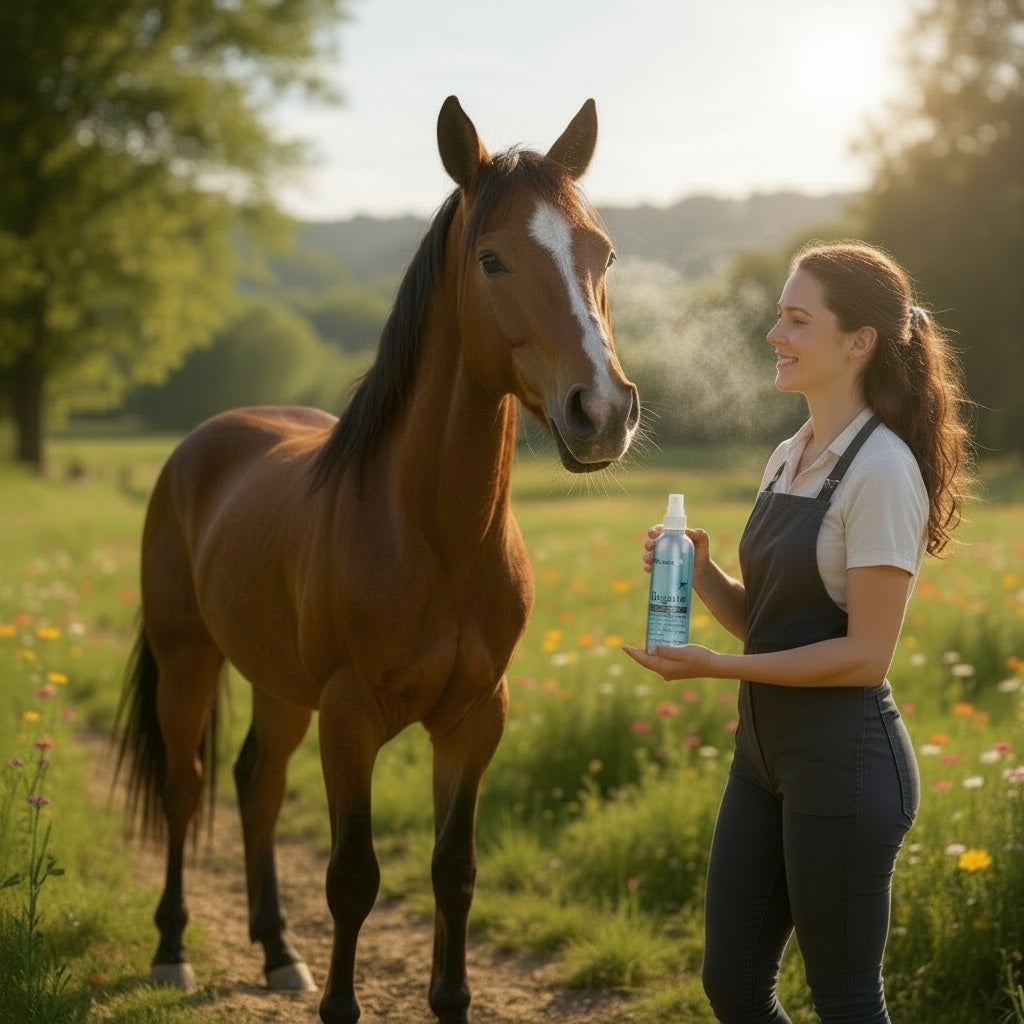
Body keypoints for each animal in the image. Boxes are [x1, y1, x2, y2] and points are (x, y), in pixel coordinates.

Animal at [115, 95, 639, 1024]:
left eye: (601, 252)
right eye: (492, 258)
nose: (603, 413)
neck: (430, 534)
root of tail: (201, 444)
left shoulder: (475, 717)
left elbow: (453, 871)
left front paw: (449, 999)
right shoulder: (350, 716)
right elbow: (352, 877)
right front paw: (338, 1005)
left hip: (281, 686)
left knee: (255, 782)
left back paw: (279, 952)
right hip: (188, 662)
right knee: (186, 786)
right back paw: (173, 951)